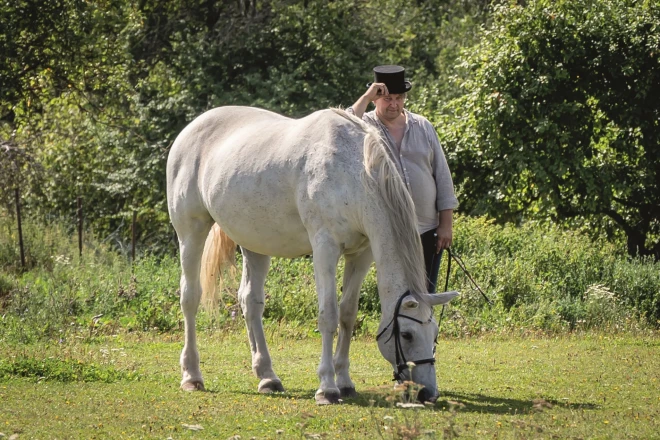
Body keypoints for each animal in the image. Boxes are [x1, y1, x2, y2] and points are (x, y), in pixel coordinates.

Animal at [165, 105, 456, 404]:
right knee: (190, 297)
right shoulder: (325, 248)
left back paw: (267, 377)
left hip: (255, 243)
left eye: (434, 333)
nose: (428, 392)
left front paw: (345, 381)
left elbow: (347, 314)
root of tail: (192, 129)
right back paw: (192, 375)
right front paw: (327, 387)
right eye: (407, 335)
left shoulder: (361, 255)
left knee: (250, 302)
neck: (354, 172)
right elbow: (328, 315)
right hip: (191, 232)